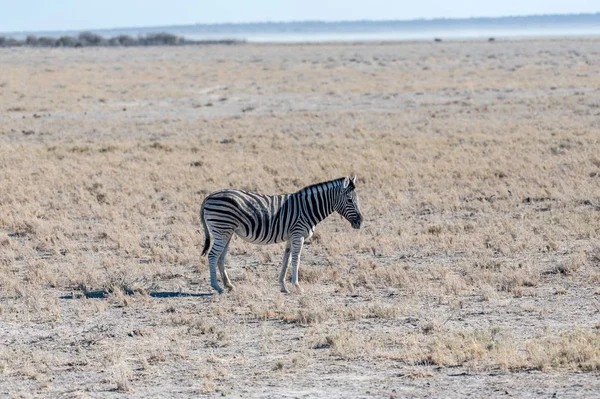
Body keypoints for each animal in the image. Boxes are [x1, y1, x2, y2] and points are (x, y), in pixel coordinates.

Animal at [199, 177, 364, 296]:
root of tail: (209, 196)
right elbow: (296, 260)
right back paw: (217, 287)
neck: (308, 208)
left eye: (358, 200)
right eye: (350, 200)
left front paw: (283, 286)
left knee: (221, 257)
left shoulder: (291, 237)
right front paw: (297, 286)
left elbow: (286, 260)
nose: (361, 222)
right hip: (222, 229)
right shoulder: (298, 235)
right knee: (213, 255)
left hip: (227, 232)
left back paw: (229, 285)